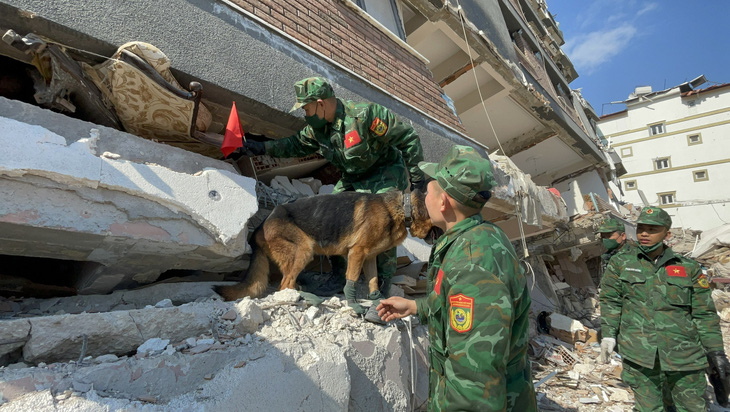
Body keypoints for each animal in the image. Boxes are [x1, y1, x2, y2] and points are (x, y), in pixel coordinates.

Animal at [216, 190, 432, 302]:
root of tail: (262, 224)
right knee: (284, 284)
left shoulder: (368, 257)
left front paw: (376, 298)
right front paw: (353, 302)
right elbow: (352, 279)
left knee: (286, 282)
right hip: (304, 249)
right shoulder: (356, 253)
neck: (401, 208)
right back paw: (302, 295)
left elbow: (373, 280)